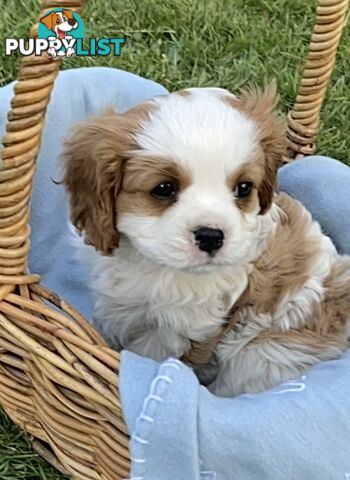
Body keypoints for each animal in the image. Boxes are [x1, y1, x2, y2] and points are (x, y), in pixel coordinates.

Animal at [60, 87, 350, 398]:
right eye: (164, 188)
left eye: (244, 188)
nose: (211, 235)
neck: (155, 266)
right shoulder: (115, 303)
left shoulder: (179, 331)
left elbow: (149, 356)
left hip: (263, 354)